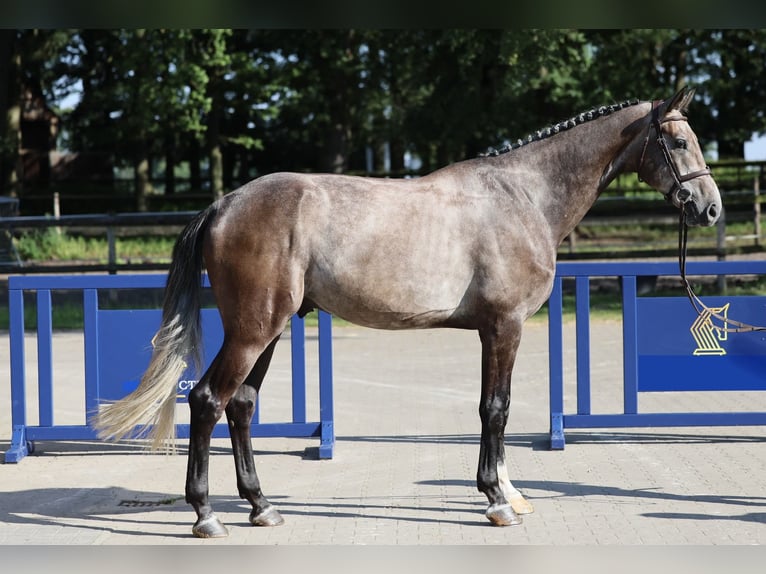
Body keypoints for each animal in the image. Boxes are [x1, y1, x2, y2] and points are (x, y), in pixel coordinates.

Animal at [94, 86, 720, 540]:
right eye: (678, 142)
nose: (710, 207)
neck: (524, 197)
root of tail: (225, 203)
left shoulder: (497, 332)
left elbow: (497, 409)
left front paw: (509, 493)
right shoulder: (505, 327)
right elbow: (496, 409)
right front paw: (497, 501)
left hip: (267, 332)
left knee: (241, 406)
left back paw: (261, 506)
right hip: (253, 330)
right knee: (207, 400)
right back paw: (205, 515)